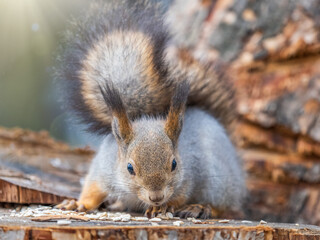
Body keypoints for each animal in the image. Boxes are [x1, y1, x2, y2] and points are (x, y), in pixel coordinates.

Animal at [55, 0, 245, 219]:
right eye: (129, 168)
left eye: (174, 164)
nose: (156, 197)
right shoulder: (103, 168)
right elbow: (92, 188)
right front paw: (78, 204)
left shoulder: (188, 178)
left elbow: (180, 196)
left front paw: (163, 206)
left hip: (220, 182)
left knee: (223, 205)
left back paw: (200, 207)